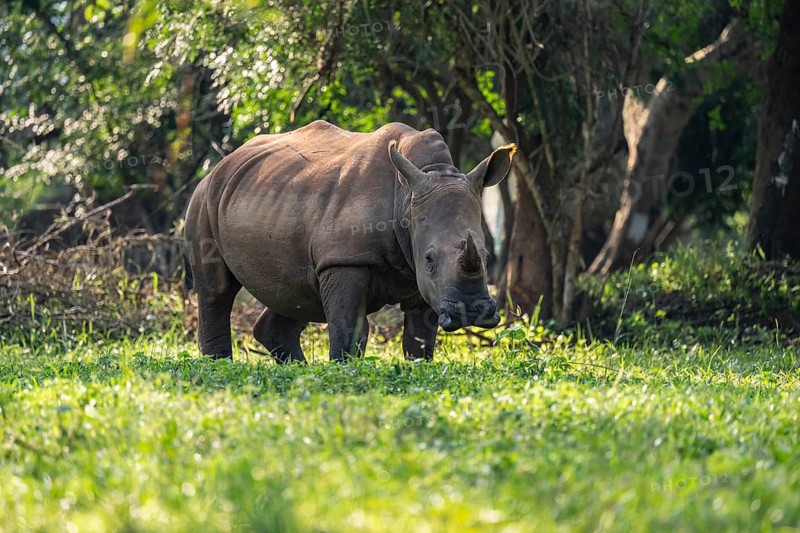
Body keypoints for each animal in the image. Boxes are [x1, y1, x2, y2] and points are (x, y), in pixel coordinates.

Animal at [184, 120, 515, 362]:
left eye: (487, 256)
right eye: (430, 258)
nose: (471, 310)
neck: (407, 195)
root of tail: (222, 163)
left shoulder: (420, 275)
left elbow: (420, 337)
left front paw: (418, 366)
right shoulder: (345, 259)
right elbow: (349, 328)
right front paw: (344, 370)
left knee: (296, 292)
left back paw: (298, 369)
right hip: (204, 199)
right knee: (217, 291)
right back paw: (220, 364)